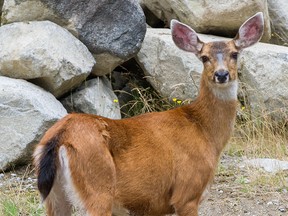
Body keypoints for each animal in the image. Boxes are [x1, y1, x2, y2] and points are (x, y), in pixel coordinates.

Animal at [33, 12, 264, 216]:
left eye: (235, 54)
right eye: (204, 57)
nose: (222, 74)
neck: (204, 131)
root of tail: (60, 137)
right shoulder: (187, 192)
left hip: (55, 196)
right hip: (98, 185)